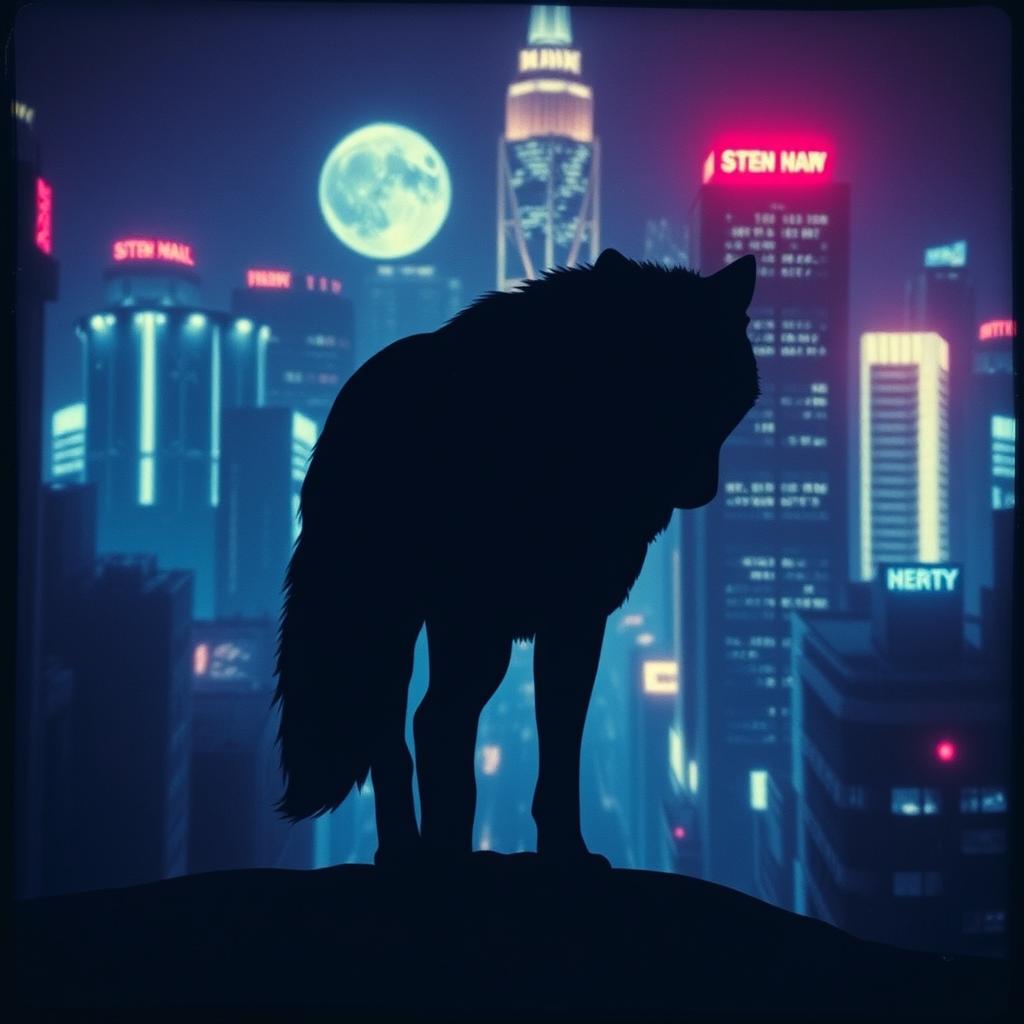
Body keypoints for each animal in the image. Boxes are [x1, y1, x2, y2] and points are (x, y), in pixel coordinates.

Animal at [273, 249, 759, 867]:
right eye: (658, 372)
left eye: (717, 388)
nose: (702, 489)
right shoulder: (558, 615)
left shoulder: (576, 620)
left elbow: (561, 745)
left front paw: (567, 850)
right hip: (468, 632)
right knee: (434, 721)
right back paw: (441, 853)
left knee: (396, 726)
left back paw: (407, 851)